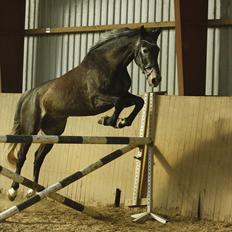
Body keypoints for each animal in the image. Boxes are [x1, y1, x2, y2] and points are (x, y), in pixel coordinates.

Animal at [5, 25, 161, 200]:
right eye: (145, 50)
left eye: (157, 49)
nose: (155, 79)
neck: (110, 66)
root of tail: (30, 93)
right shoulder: (96, 99)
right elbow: (119, 103)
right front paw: (108, 120)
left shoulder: (123, 94)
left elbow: (138, 102)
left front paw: (121, 122)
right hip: (31, 128)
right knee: (21, 156)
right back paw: (13, 191)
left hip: (53, 131)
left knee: (38, 157)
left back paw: (33, 191)